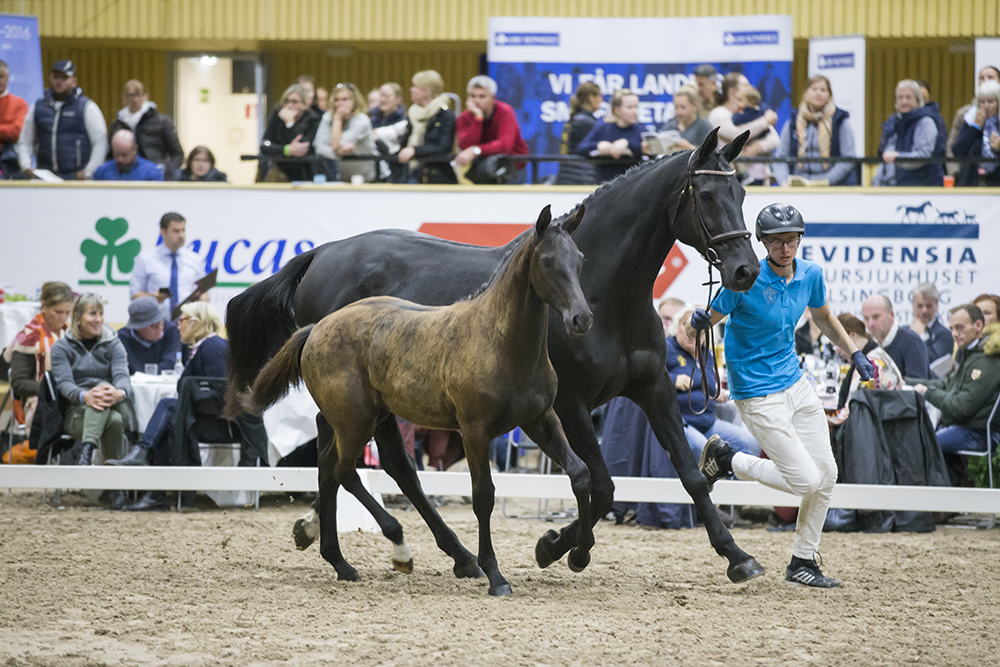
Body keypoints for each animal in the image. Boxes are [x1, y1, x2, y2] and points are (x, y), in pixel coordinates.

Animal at [229, 129, 764, 584]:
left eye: (741, 195)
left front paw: (737, 556)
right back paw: (393, 548)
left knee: (372, 463)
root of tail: (322, 254)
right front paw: (559, 547)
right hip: (364, 400)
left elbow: (691, 475)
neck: (606, 292)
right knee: (368, 462)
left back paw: (397, 548)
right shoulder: (570, 404)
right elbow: (602, 485)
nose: (745, 270)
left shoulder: (652, 390)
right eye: (707, 195)